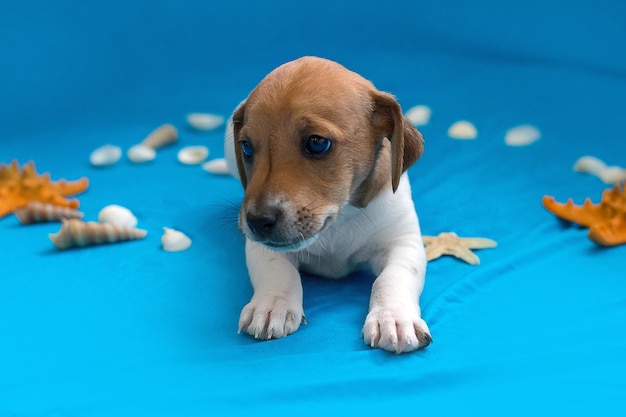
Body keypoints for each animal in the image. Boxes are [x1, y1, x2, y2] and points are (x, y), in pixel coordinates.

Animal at [222, 57, 432, 352]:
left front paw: (392, 317)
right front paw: (272, 303)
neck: (338, 220)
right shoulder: (260, 247)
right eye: (247, 147)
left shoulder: (403, 242)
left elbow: (391, 277)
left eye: (317, 143)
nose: (257, 222)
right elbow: (279, 270)